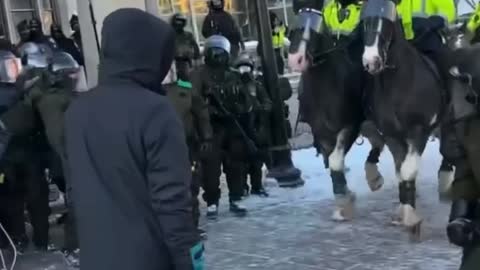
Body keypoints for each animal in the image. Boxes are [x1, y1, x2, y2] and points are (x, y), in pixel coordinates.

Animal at [286, 7, 384, 221]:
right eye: (297, 19)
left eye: (315, 29)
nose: (296, 59)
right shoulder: (321, 133)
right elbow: (331, 161)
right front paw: (344, 195)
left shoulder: (350, 125)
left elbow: (335, 161)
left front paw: (343, 201)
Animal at [358, 0, 456, 238]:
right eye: (364, 21)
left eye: (388, 21)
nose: (371, 61)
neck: (399, 82)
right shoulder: (392, 136)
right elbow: (402, 173)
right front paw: (405, 209)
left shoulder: (418, 131)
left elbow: (408, 170)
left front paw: (411, 217)